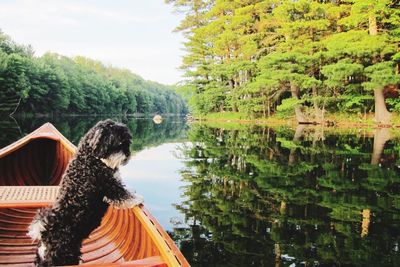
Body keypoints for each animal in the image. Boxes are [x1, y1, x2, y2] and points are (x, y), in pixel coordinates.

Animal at [27, 120, 142, 266]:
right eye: (120, 143)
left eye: (128, 142)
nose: (127, 154)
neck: (91, 158)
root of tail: (46, 234)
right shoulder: (110, 186)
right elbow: (124, 195)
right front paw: (138, 198)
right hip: (67, 256)